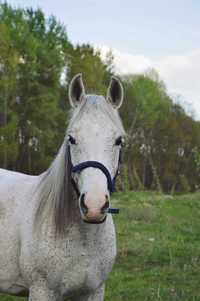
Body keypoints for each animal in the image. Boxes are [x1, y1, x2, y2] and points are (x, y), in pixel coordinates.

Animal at [0, 74, 125, 298]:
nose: (94, 206)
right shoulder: (41, 290)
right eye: (71, 139)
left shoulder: (93, 292)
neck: (84, 239)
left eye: (118, 140)